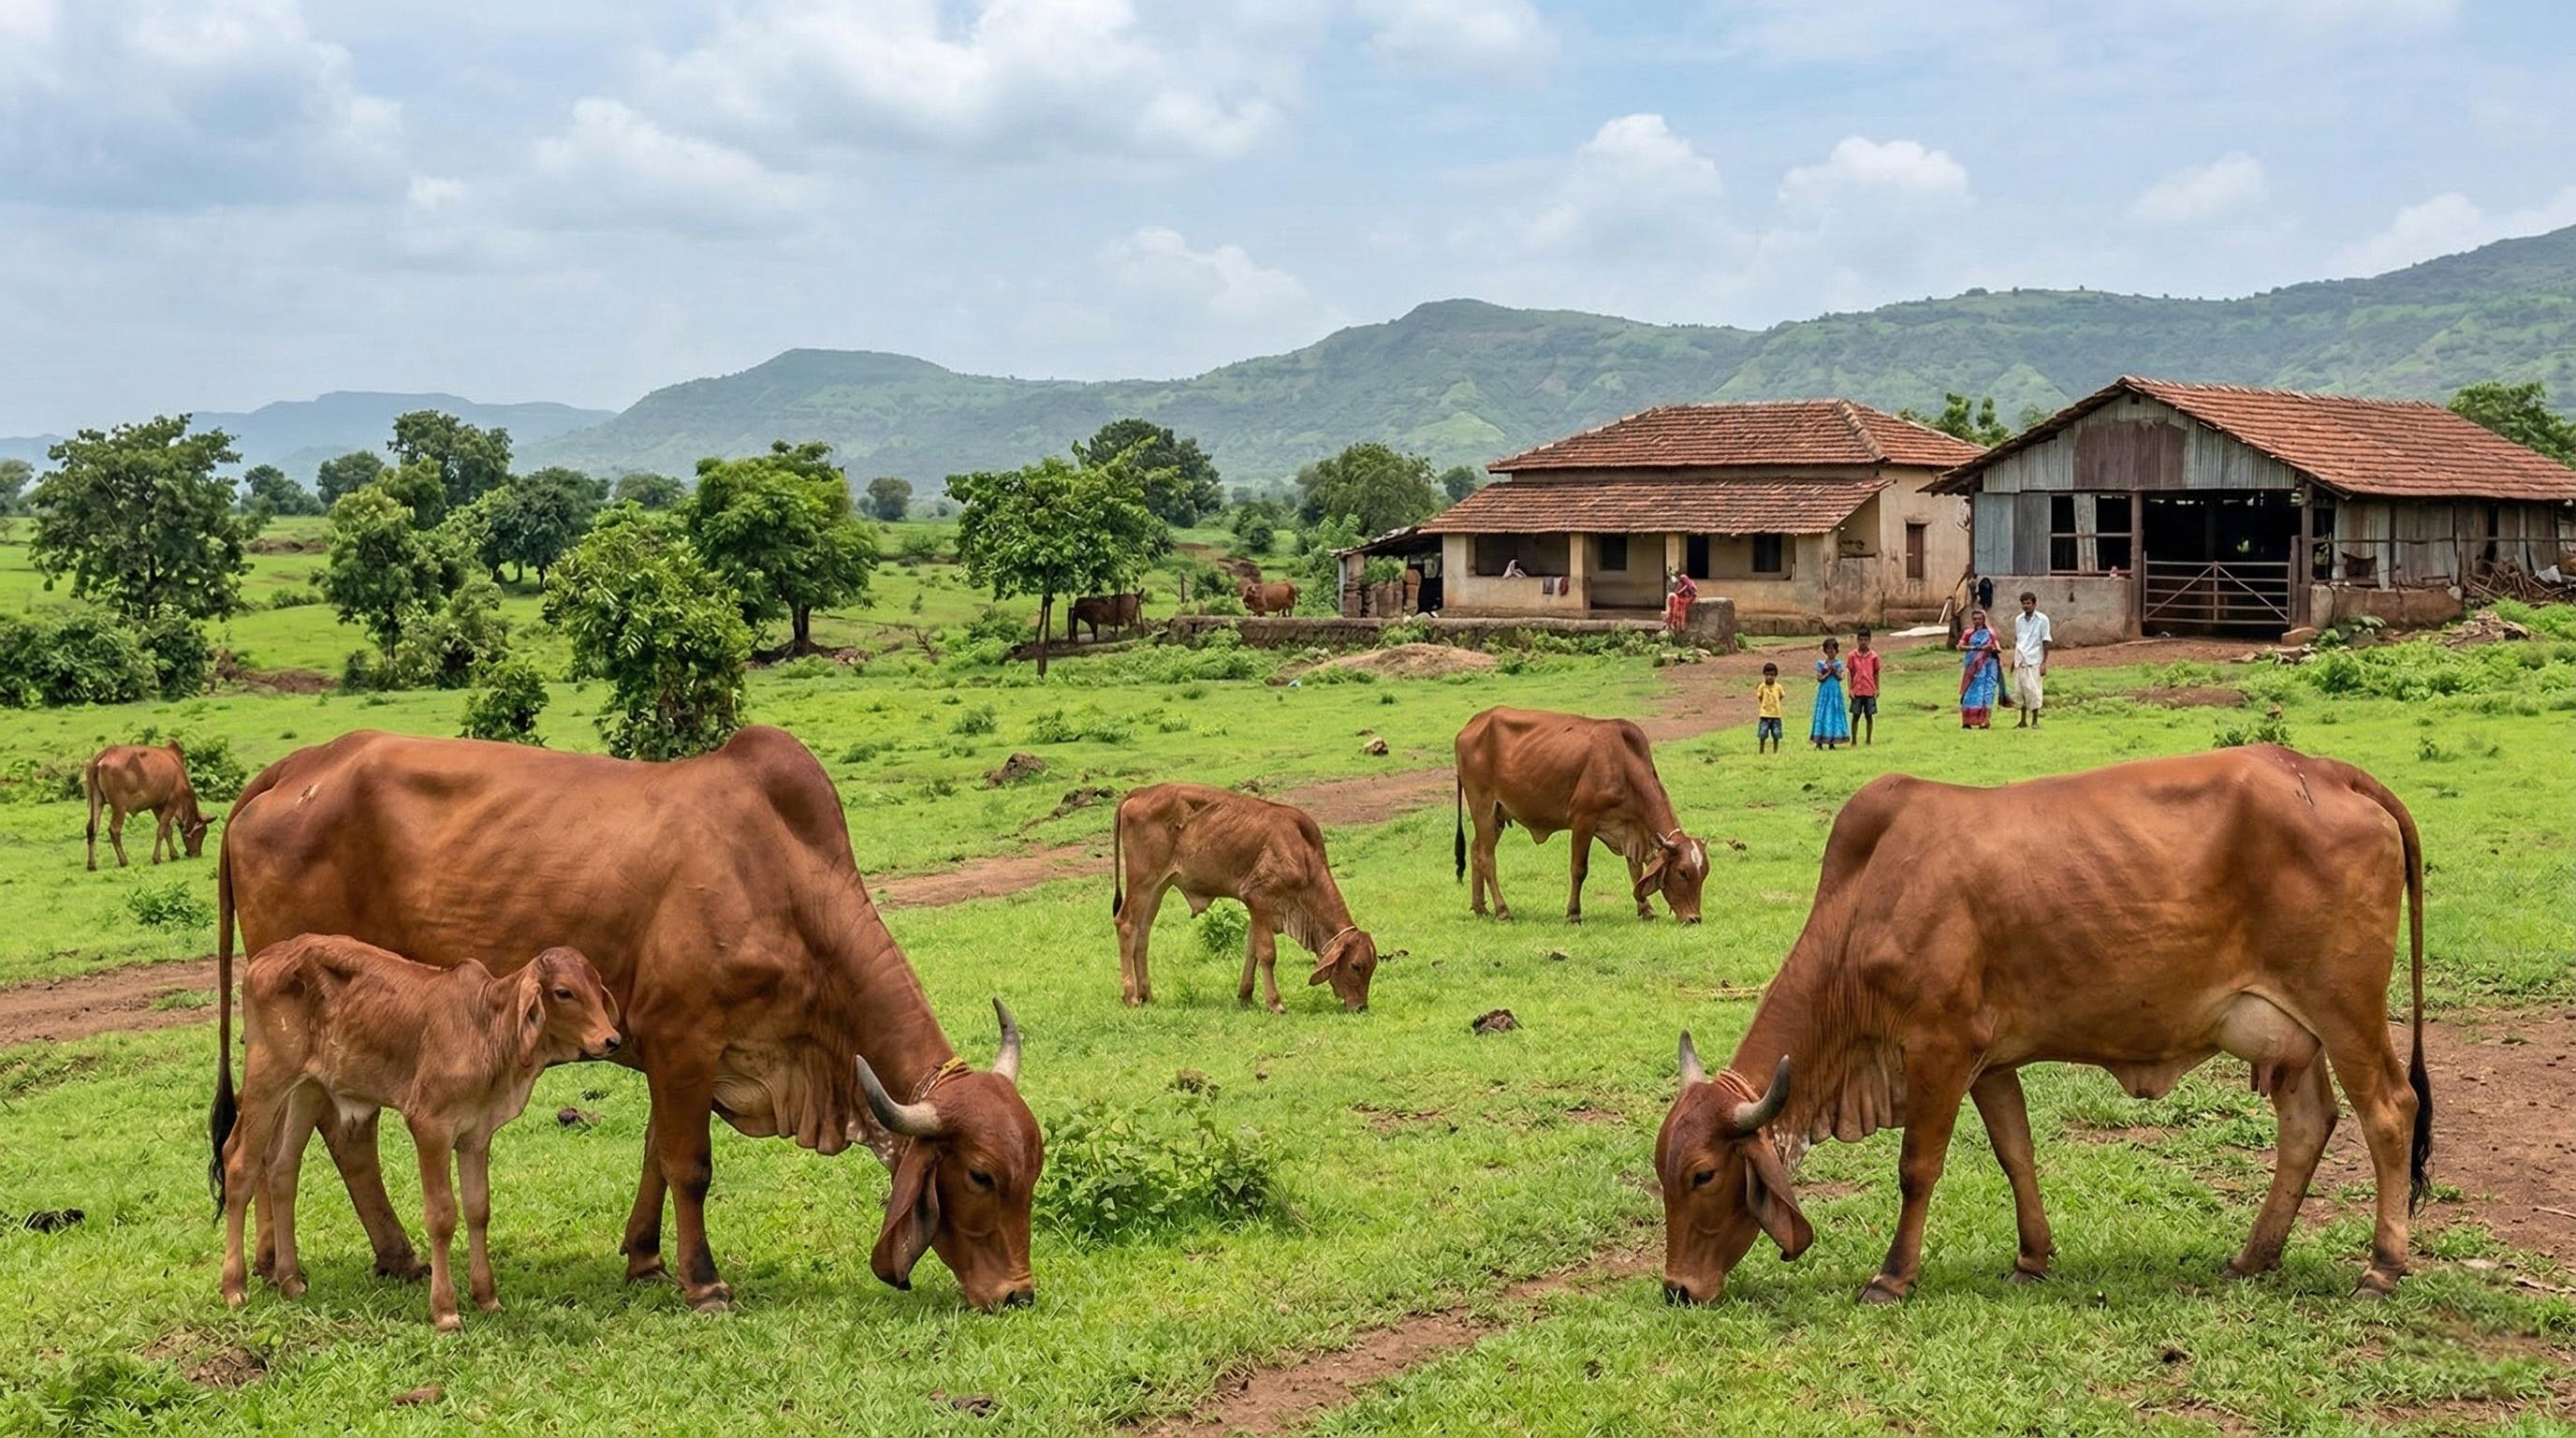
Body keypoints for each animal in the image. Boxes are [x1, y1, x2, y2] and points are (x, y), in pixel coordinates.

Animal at [85, 742, 209, 870]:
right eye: (203, 832)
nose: (197, 854)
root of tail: (105, 753)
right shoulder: (172, 803)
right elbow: (161, 830)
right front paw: (157, 858)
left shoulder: (157, 806)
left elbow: (167, 830)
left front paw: (174, 855)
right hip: (119, 805)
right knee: (114, 829)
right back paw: (123, 861)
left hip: (97, 800)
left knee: (91, 828)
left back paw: (91, 864)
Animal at [216, 937, 623, 1330]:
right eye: (564, 992)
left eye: (596, 983)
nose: (611, 1039)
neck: (487, 1028)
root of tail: (266, 957)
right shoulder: (430, 1127)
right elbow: (442, 1215)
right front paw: (445, 1311)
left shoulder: (476, 1136)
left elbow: (478, 1210)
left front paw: (487, 1298)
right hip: (268, 1077)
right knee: (239, 1163)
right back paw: (234, 1287)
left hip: (308, 1089)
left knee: (283, 1167)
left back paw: (291, 1280)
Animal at [1111, 783, 1380, 1013]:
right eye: (1356, 966)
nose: (1360, 1007)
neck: (1303, 856)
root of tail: (1140, 791)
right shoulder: (1258, 898)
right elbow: (1267, 954)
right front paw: (1275, 1003)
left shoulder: (1260, 910)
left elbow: (1252, 952)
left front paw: (1246, 997)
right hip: (1143, 880)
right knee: (1126, 925)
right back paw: (1130, 996)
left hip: (1159, 886)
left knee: (1143, 933)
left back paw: (1147, 995)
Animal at [1453, 707, 1707, 924]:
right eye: (1682, 872)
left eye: (1704, 873)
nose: (1694, 918)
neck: (1623, 765)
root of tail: (1477, 720)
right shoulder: (1583, 820)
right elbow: (1579, 869)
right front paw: (1574, 913)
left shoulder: (1630, 829)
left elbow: (1635, 869)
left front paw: (1646, 910)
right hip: (1482, 805)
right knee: (1487, 857)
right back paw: (1502, 910)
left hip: (1498, 814)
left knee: (1475, 849)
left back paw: (1480, 907)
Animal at [1654, 746, 2432, 1307]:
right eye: (1661, 1170)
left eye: (1702, 1175)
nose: (1678, 1290)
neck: (1866, 899)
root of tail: (2326, 771)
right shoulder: (1989, 1061)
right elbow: (2015, 1154)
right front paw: (2032, 1257)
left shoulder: (1939, 1046)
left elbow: (1917, 1168)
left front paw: (1892, 1276)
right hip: (2291, 1034)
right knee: (2308, 1123)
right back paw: (2253, 1256)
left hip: (2345, 1008)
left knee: (2390, 1111)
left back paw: (2382, 1268)